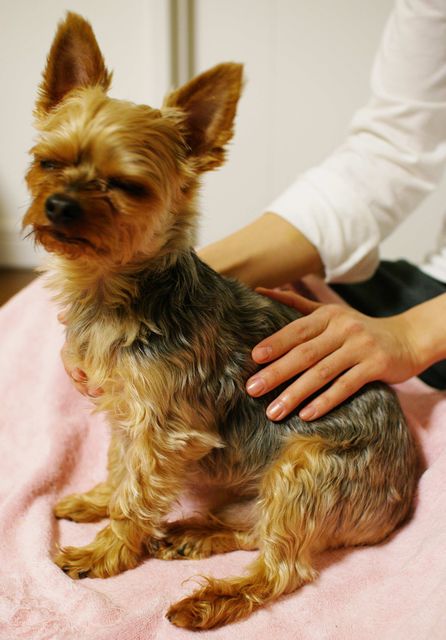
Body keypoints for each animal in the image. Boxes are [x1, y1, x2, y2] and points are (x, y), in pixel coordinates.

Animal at [23, 13, 418, 630]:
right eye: (48, 162)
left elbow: (137, 491)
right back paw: (193, 534)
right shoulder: (124, 409)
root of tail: (403, 493)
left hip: (305, 468)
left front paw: (106, 552)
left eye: (127, 185)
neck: (118, 292)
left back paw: (210, 599)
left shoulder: (162, 425)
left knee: (283, 568)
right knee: (253, 529)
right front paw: (95, 501)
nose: (59, 206)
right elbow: (118, 465)